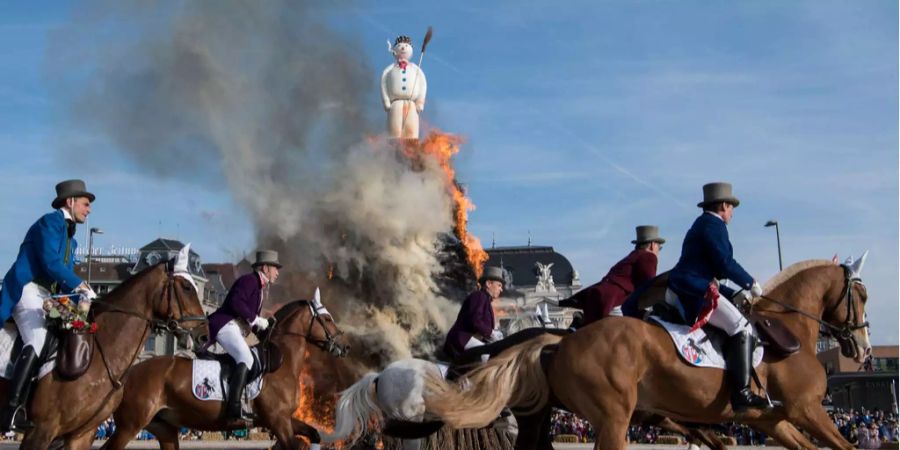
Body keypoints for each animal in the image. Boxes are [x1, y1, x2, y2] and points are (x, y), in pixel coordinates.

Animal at [101, 296, 348, 450]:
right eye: (327, 319)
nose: (344, 347)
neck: (281, 363)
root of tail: (129, 373)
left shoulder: (283, 419)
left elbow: (314, 434)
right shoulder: (278, 421)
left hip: (163, 427)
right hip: (130, 426)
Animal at [426, 253, 876, 450]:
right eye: (861, 295)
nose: (864, 349)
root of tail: (558, 342)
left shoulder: (775, 417)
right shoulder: (804, 410)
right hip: (607, 416)